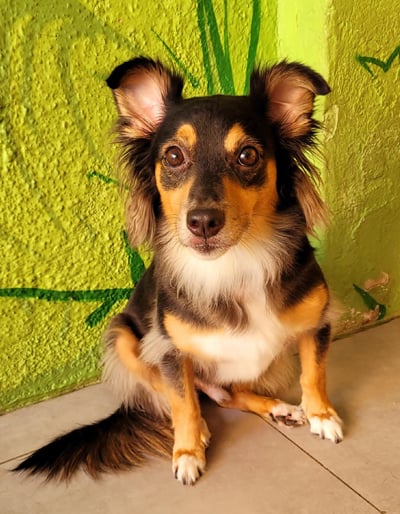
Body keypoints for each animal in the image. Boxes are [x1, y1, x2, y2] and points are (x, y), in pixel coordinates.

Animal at [15, 57, 343, 485]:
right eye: (173, 157)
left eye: (248, 156)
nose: (202, 222)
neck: (233, 263)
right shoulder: (168, 350)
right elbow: (182, 401)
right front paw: (187, 452)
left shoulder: (317, 322)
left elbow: (314, 373)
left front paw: (323, 415)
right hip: (121, 335)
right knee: (186, 396)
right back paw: (203, 427)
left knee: (229, 393)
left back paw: (278, 407)